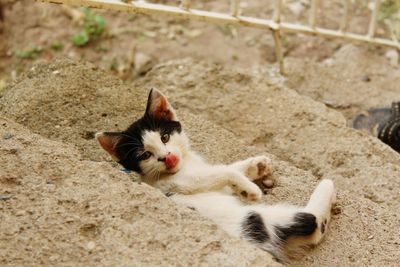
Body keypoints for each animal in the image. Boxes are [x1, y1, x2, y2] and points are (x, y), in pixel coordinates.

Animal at [96, 89, 334, 262]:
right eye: (146, 155)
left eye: (164, 137)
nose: (168, 157)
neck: (185, 165)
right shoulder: (176, 183)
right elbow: (220, 171)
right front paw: (250, 189)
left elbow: (227, 170)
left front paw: (256, 166)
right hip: (256, 220)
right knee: (313, 223)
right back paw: (327, 185)